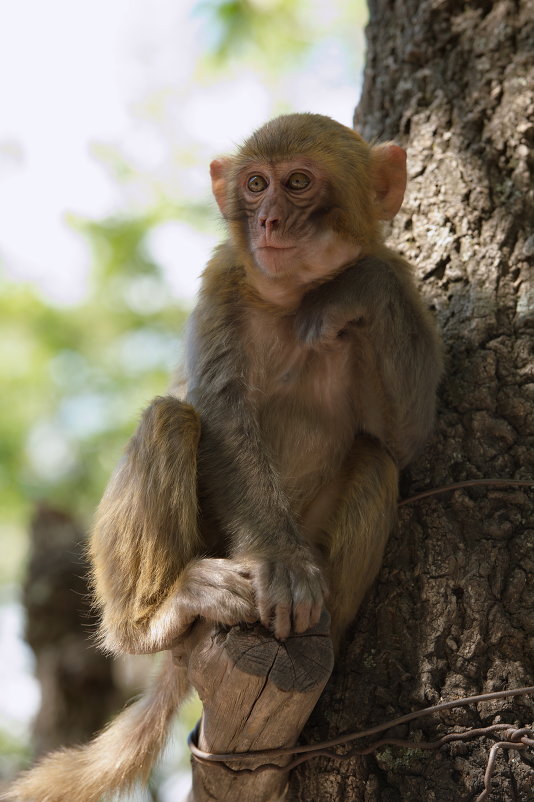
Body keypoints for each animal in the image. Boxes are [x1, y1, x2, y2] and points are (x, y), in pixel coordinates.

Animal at [6, 112, 444, 800]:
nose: (268, 220)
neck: (291, 296)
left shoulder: (399, 281)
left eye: (298, 182)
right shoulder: (222, 280)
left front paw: (349, 290)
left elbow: (403, 439)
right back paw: (156, 617)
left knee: (374, 460)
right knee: (169, 418)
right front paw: (281, 564)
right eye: (256, 184)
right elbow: (220, 416)